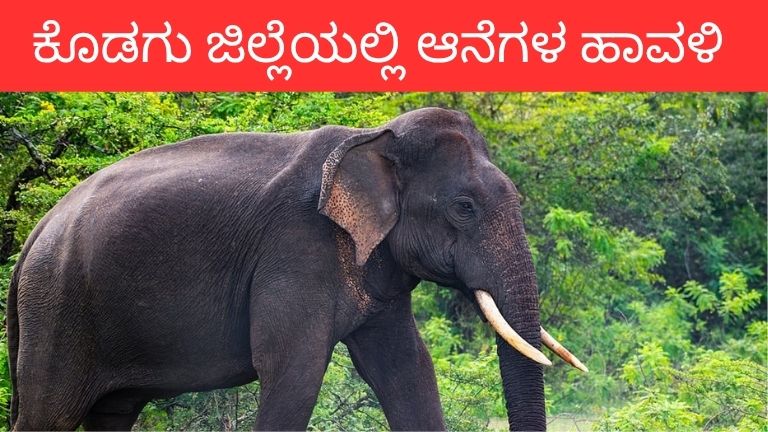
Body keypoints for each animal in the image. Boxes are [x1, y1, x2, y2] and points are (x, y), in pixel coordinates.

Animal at [6, 107, 586, 431]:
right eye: (463, 207)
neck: (372, 137)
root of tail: (35, 234)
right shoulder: (296, 250)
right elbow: (294, 370)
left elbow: (407, 369)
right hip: (58, 310)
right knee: (48, 415)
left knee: (112, 414)